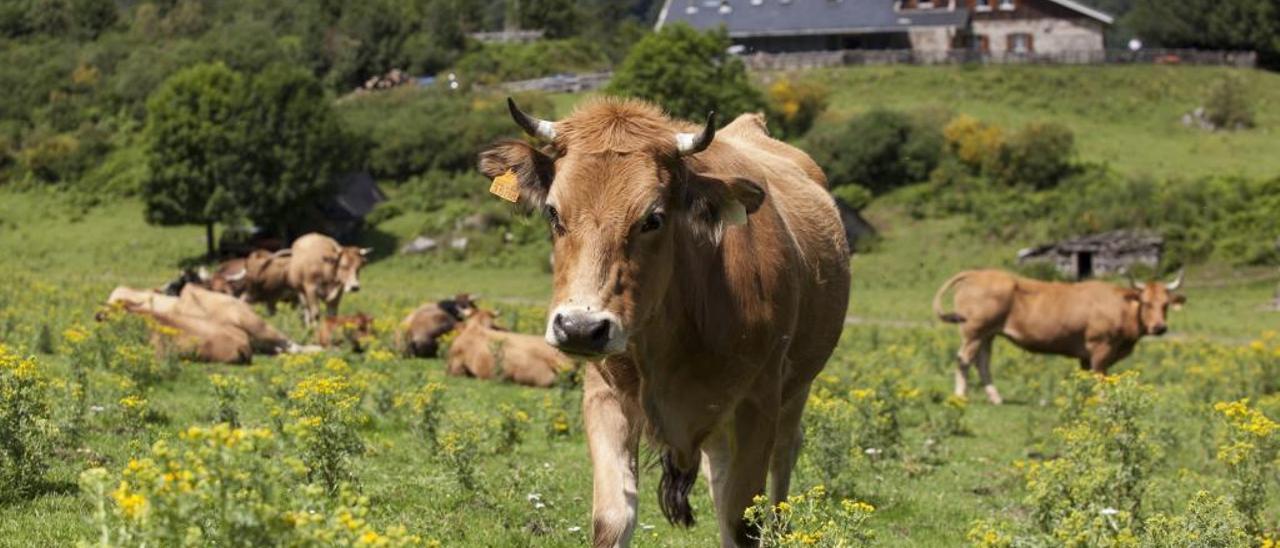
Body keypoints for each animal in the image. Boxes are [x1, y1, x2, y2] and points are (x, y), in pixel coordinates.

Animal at [481, 96, 849, 545]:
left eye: (652, 218)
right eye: (553, 212)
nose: (580, 328)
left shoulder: (758, 402)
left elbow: (742, 521)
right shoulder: (605, 395)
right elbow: (613, 518)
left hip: (797, 388)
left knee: (784, 454)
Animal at [931, 267, 1187, 404]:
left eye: (1165, 304)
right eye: (1146, 302)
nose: (1160, 327)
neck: (1121, 306)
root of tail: (977, 273)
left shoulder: (1085, 356)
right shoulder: (1100, 349)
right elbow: (1100, 377)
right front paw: (1102, 401)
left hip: (987, 334)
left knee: (982, 362)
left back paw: (996, 398)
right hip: (973, 332)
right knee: (964, 360)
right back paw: (960, 396)